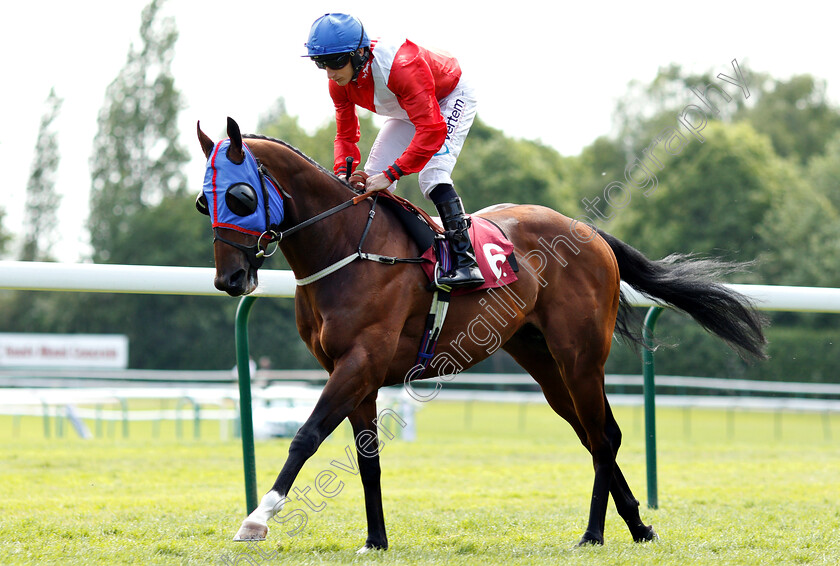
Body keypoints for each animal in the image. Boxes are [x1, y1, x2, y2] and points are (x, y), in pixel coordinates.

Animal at [199, 117, 768, 552]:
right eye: (205, 202)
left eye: (241, 196)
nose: (230, 280)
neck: (347, 249)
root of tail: (589, 232)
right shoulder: (354, 372)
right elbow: (367, 459)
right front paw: (376, 540)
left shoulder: (360, 361)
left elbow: (306, 435)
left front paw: (258, 517)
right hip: (542, 361)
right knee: (594, 433)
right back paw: (638, 525)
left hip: (580, 355)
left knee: (604, 436)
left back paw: (593, 533)